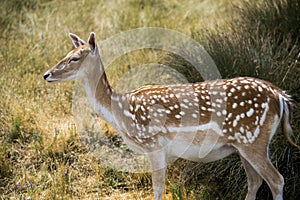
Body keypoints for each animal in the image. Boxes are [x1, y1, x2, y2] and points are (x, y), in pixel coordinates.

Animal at [43, 32, 296, 199]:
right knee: (255, 181)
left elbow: (157, 189)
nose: (47, 74)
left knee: (276, 180)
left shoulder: (154, 144)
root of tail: (280, 97)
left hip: (253, 139)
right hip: (243, 144)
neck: (122, 111)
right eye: (68, 53)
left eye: (75, 58)